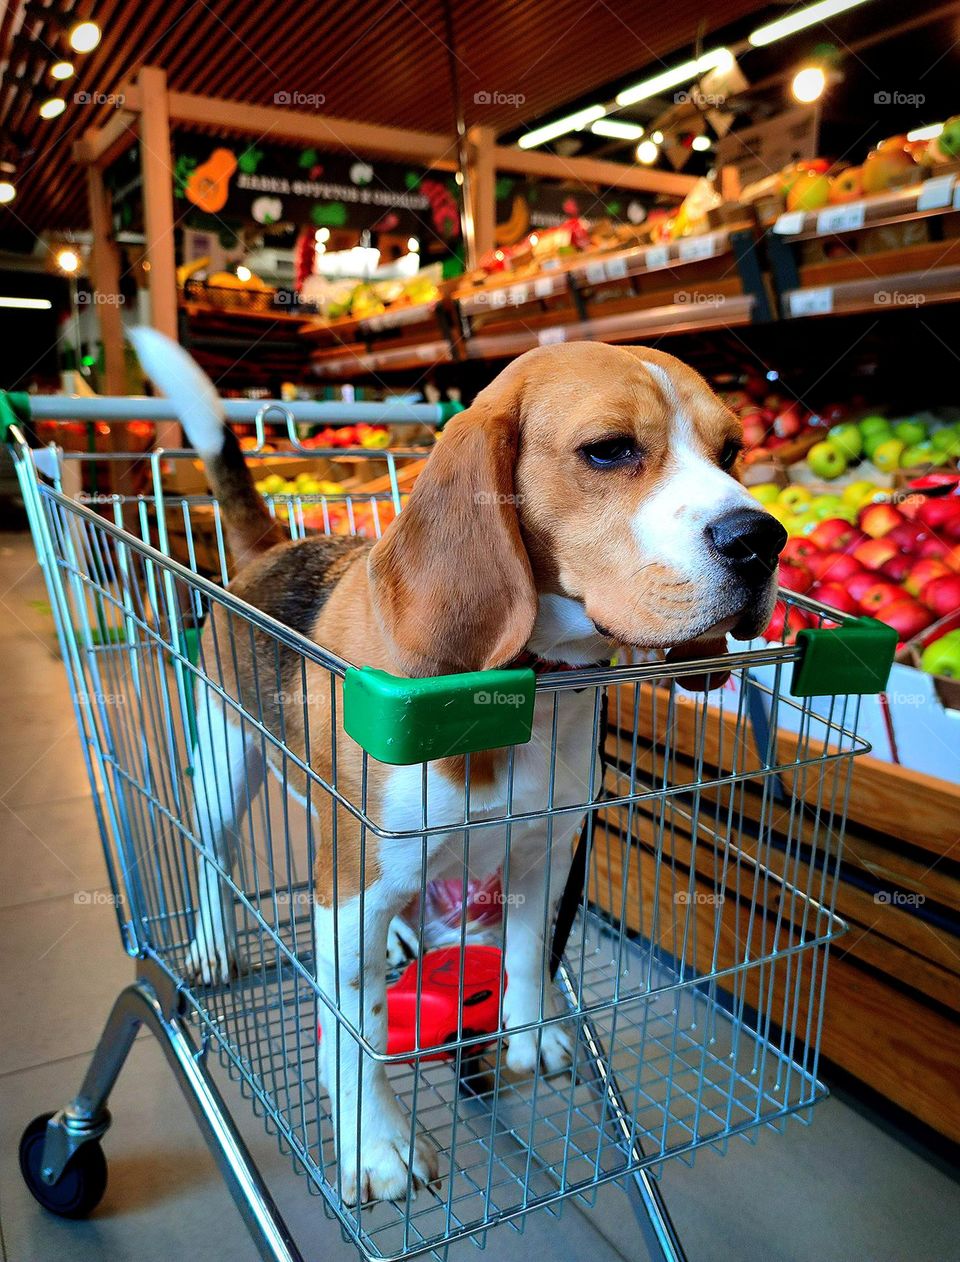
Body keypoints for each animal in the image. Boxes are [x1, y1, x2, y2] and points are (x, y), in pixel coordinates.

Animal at [129, 330, 787, 1206]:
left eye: (733, 450)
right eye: (610, 450)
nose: (763, 540)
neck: (529, 687)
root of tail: (280, 545)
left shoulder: (547, 851)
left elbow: (527, 954)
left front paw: (530, 1033)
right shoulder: (351, 885)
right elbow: (358, 1033)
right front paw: (376, 1141)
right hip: (226, 771)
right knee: (215, 857)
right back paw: (211, 942)